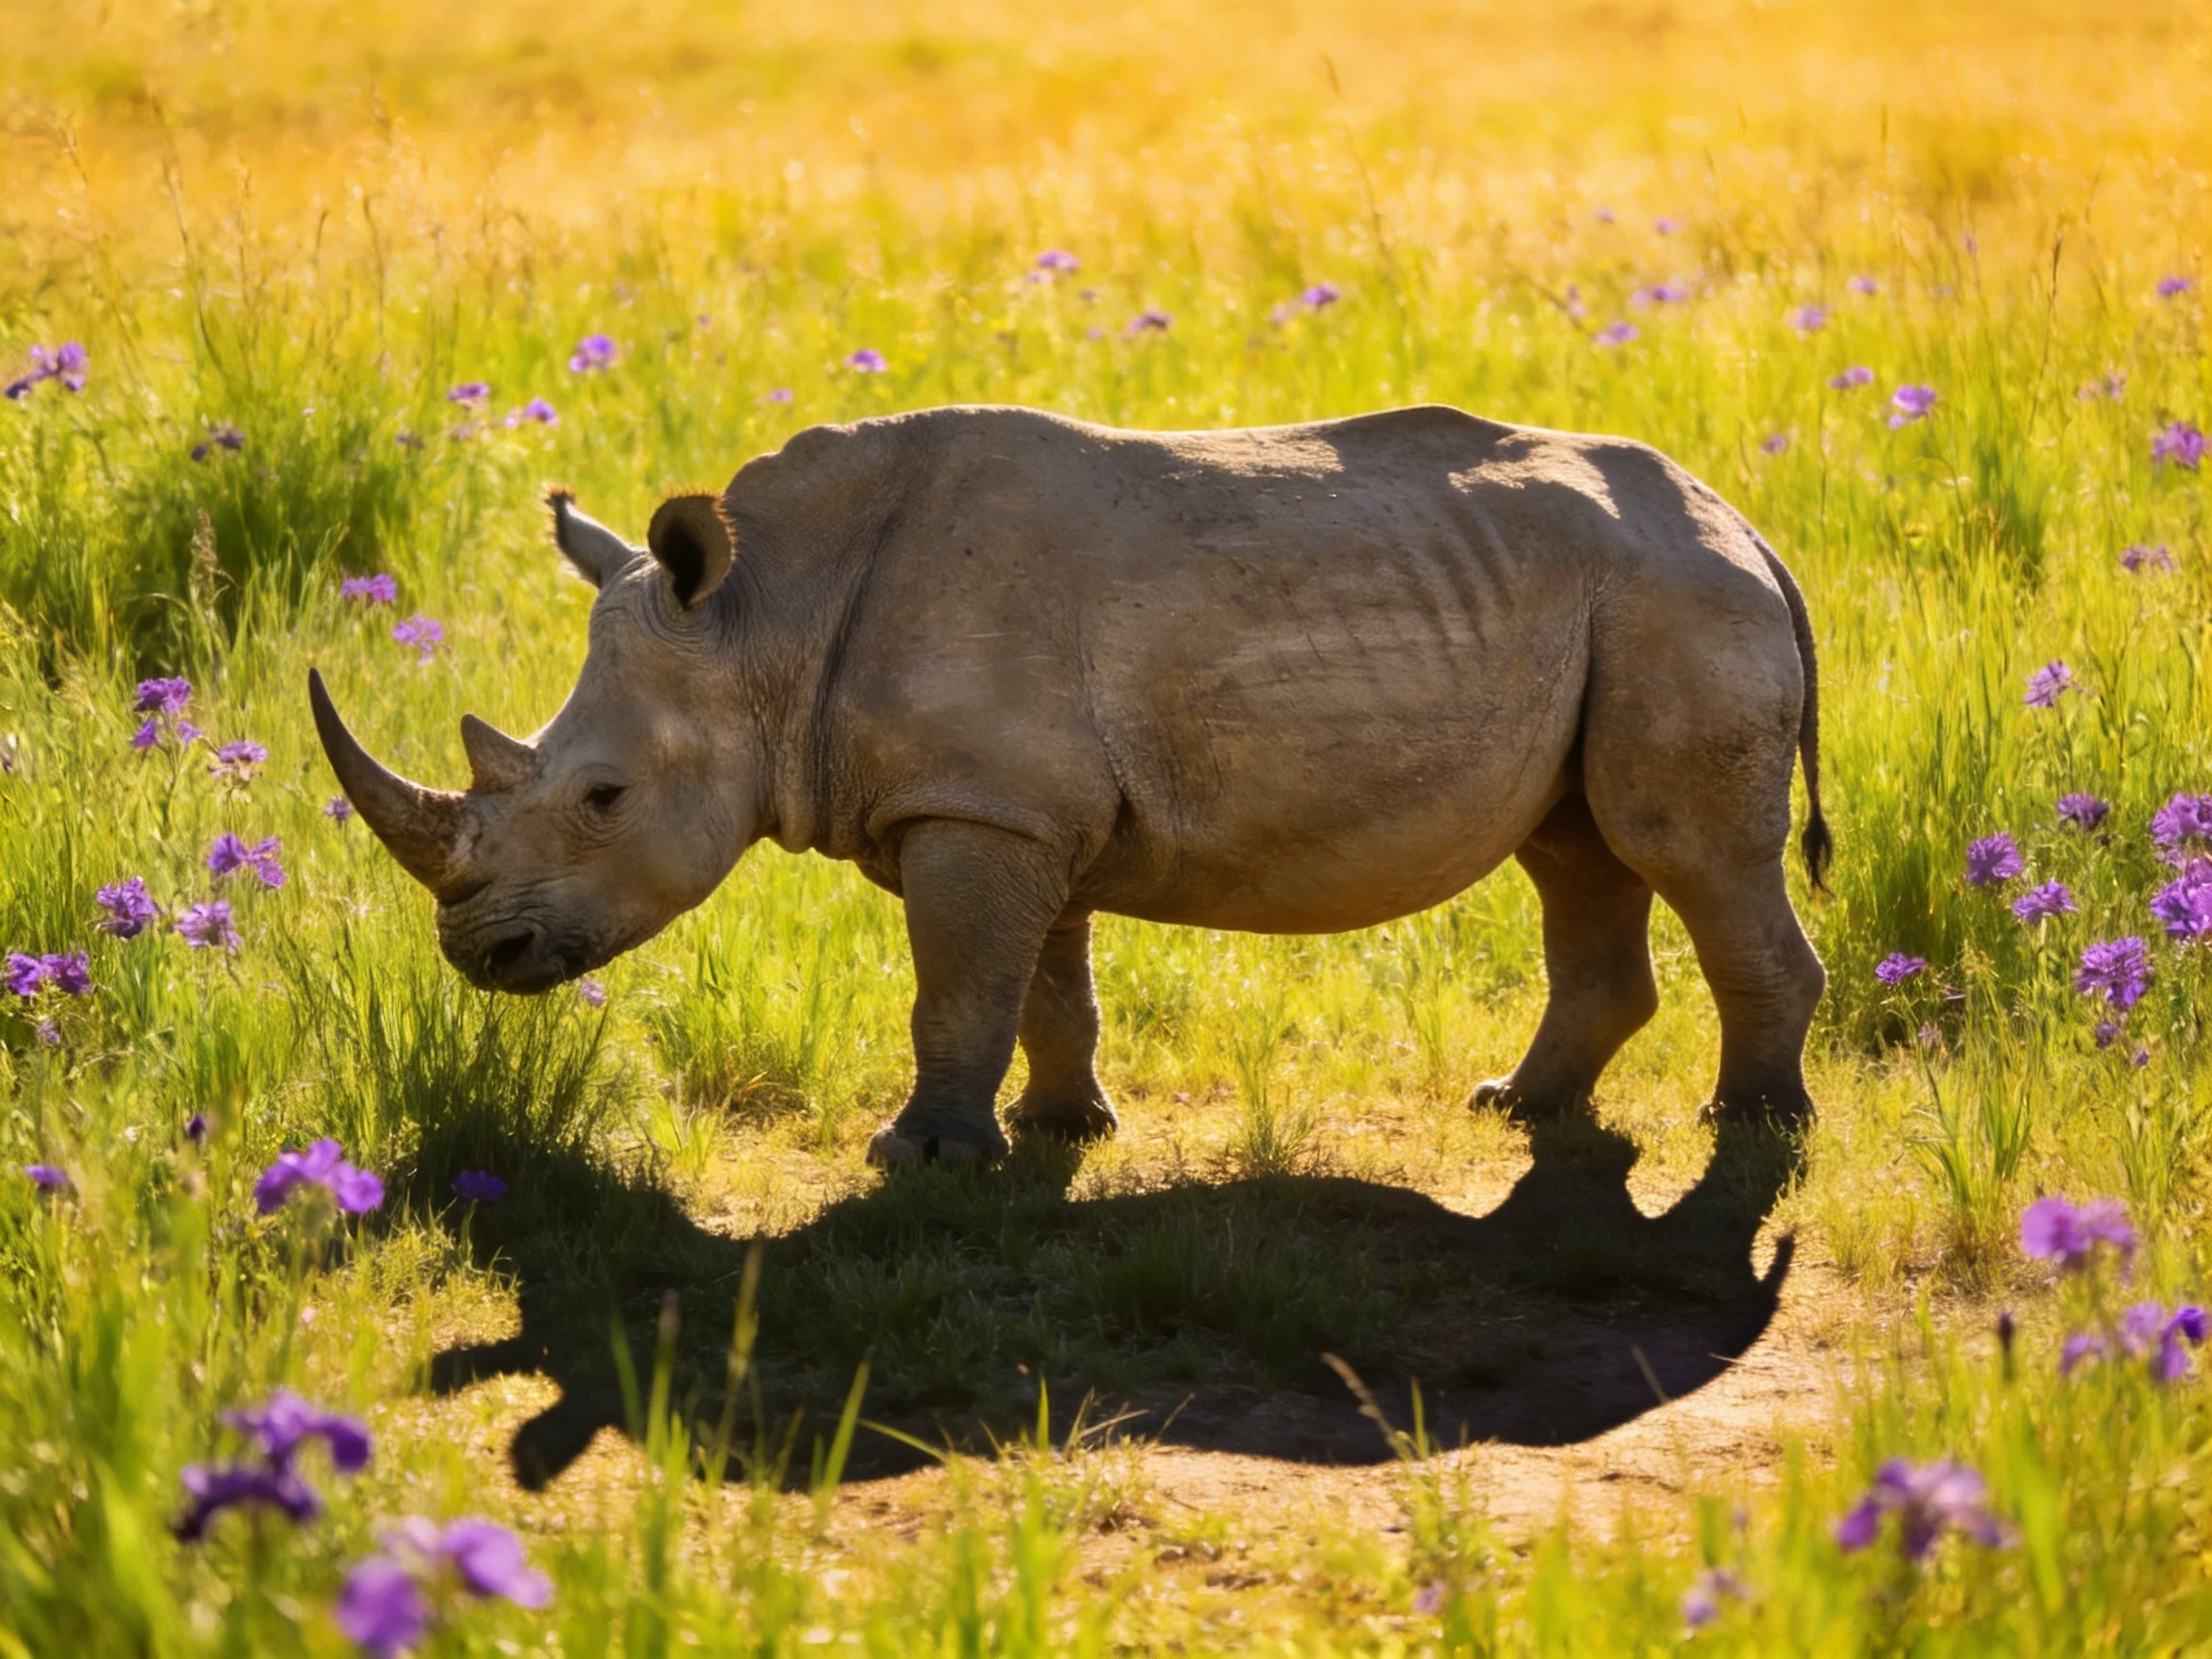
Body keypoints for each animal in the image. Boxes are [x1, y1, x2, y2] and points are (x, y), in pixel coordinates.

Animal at [311, 403, 1830, 1165]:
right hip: (1624, 600)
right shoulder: (1018, 806)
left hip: (1680, 598)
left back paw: (1751, 1130)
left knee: (1683, 852)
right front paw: (1060, 1131)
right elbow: (1041, 988)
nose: (478, 952)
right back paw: (1518, 1110)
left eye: (603, 800)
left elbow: (956, 995)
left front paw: (918, 1160)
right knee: (1578, 849)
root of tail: (1750, 522)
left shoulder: (981, 807)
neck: (757, 621)